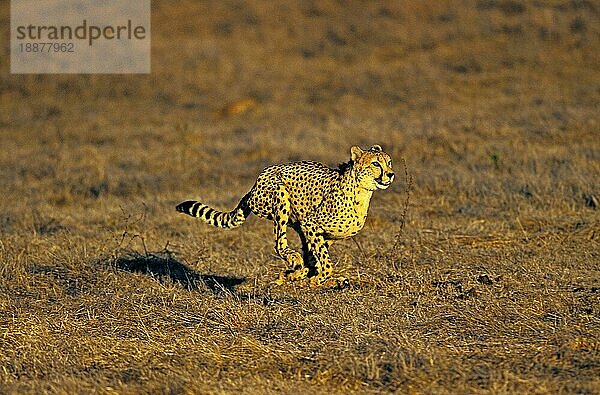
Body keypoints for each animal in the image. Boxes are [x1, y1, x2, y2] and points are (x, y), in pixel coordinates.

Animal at [176, 145, 396, 288]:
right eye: (376, 164)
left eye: (389, 162)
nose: (391, 174)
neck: (362, 191)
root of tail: (257, 182)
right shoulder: (310, 223)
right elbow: (325, 263)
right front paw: (316, 278)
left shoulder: (321, 233)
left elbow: (317, 258)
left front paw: (307, 276)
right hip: (279, 197)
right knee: (279, 244)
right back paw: (295, 262)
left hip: (296, 221)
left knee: (302, 255)